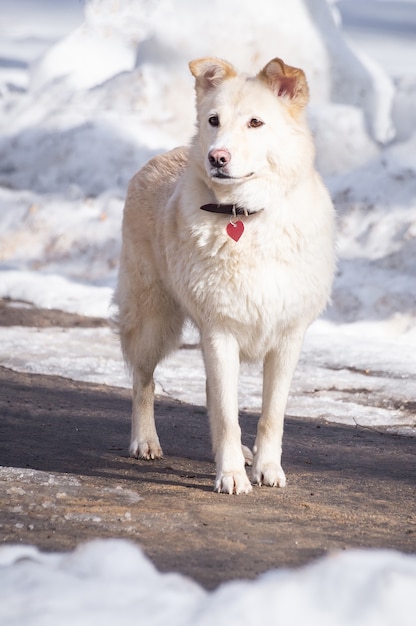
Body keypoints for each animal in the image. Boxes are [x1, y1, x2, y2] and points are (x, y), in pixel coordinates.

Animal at [114, 56, 334, 492]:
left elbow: (270, 415)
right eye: (213, 120)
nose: (217, 157)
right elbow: (227, 416)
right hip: (152, 321)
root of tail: (163, 155)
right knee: (143, 381)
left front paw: (266, 468)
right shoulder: (220, 333)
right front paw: (231, 475)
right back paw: (145, 441)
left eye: (255, 123)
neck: (246, 216)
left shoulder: (287, 339)